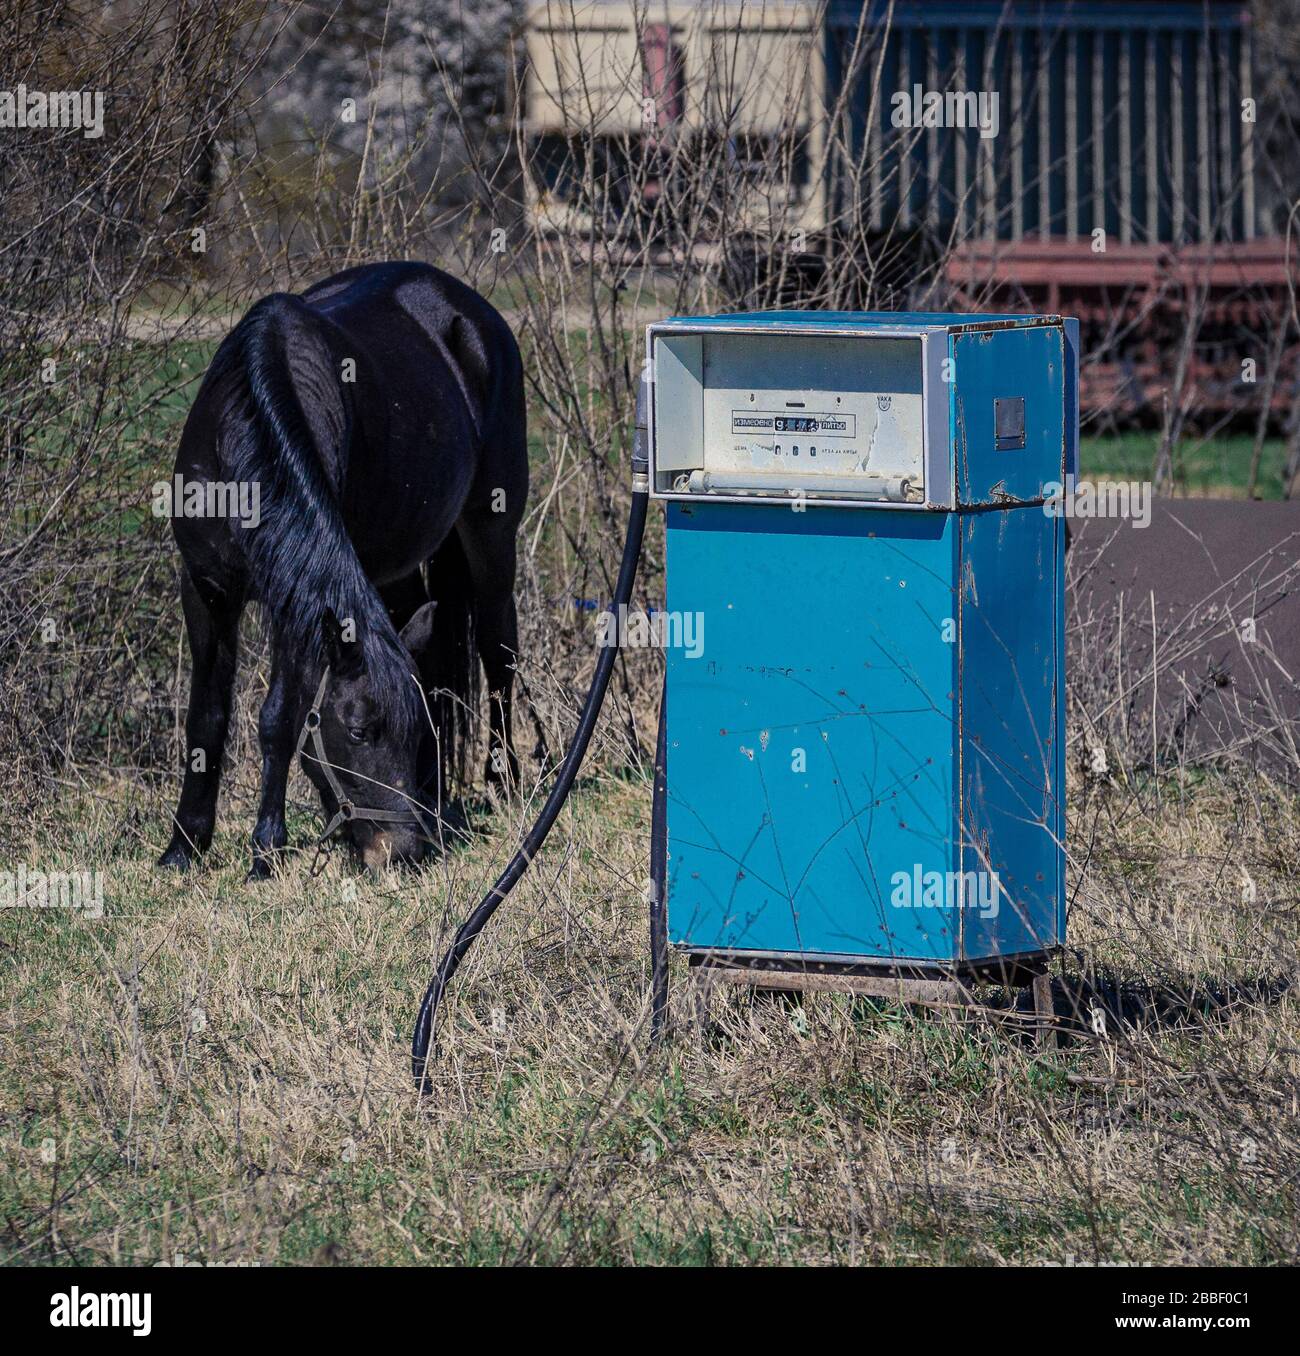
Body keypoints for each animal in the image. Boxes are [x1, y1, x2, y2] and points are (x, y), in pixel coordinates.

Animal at [159, 261, 525, 878]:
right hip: (397, 571)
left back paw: (508, 786)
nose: (402, 852)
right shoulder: (206, 588)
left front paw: (265, 850)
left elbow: (280, 718)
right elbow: (208, 715)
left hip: (491, 533)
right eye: (358, 730)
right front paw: (185, 845)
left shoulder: (296, 601)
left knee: (499, 658)